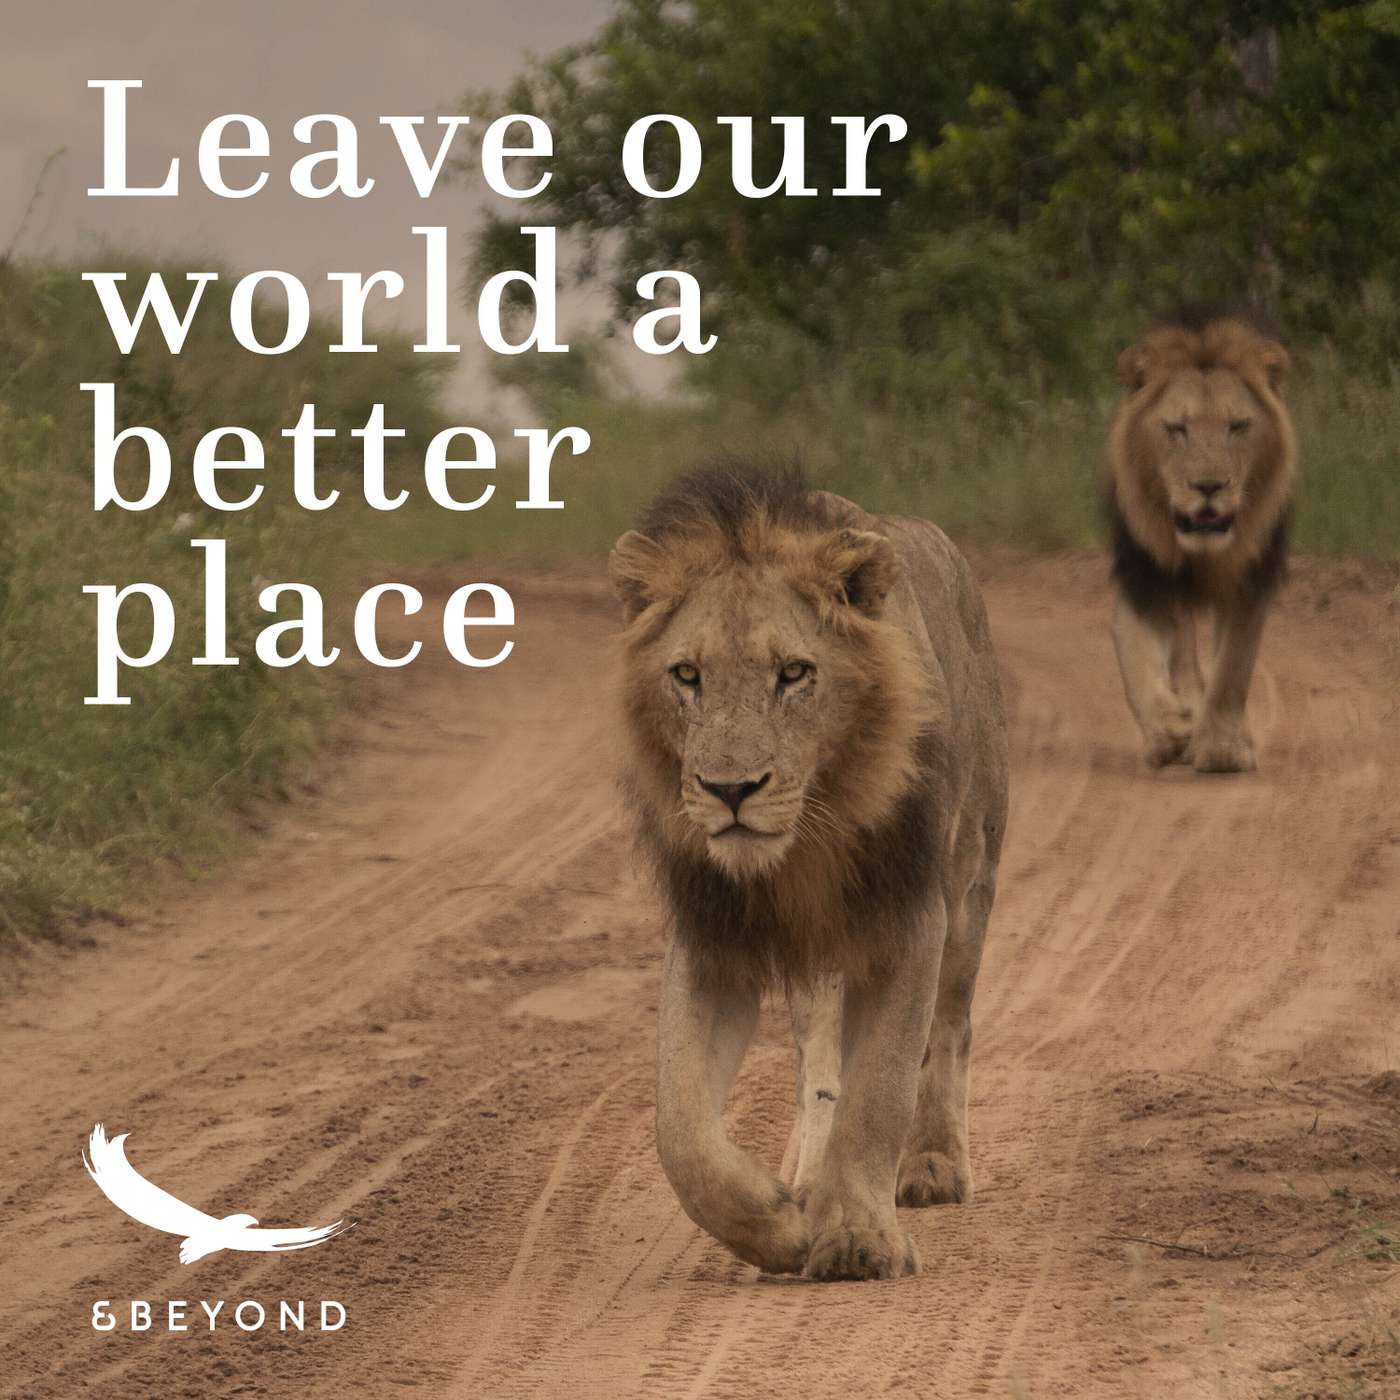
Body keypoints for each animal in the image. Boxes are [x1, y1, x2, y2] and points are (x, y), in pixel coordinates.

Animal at [607, 464, 1009, 1281]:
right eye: (687, 675)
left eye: (793, 673)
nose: (730, 789)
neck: (800, 849)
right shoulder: (713, 937)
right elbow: (679, 1128)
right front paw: (777, 1225)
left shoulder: (909, 917)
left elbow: (881, 1088)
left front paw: (857, 1236)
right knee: (821, 1066)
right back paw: (811, 1178)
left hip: (971, 882)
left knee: (951, 1028)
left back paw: (933, 1164)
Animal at [1106, 310, 1296, 772]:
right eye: (1177, 428)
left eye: (1238, 426)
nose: (1208, 486)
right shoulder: (1144, 580)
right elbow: (1136, 654)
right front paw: (1170, 727)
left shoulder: (1250, 584)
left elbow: (1232, 669)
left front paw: (1223, 748)